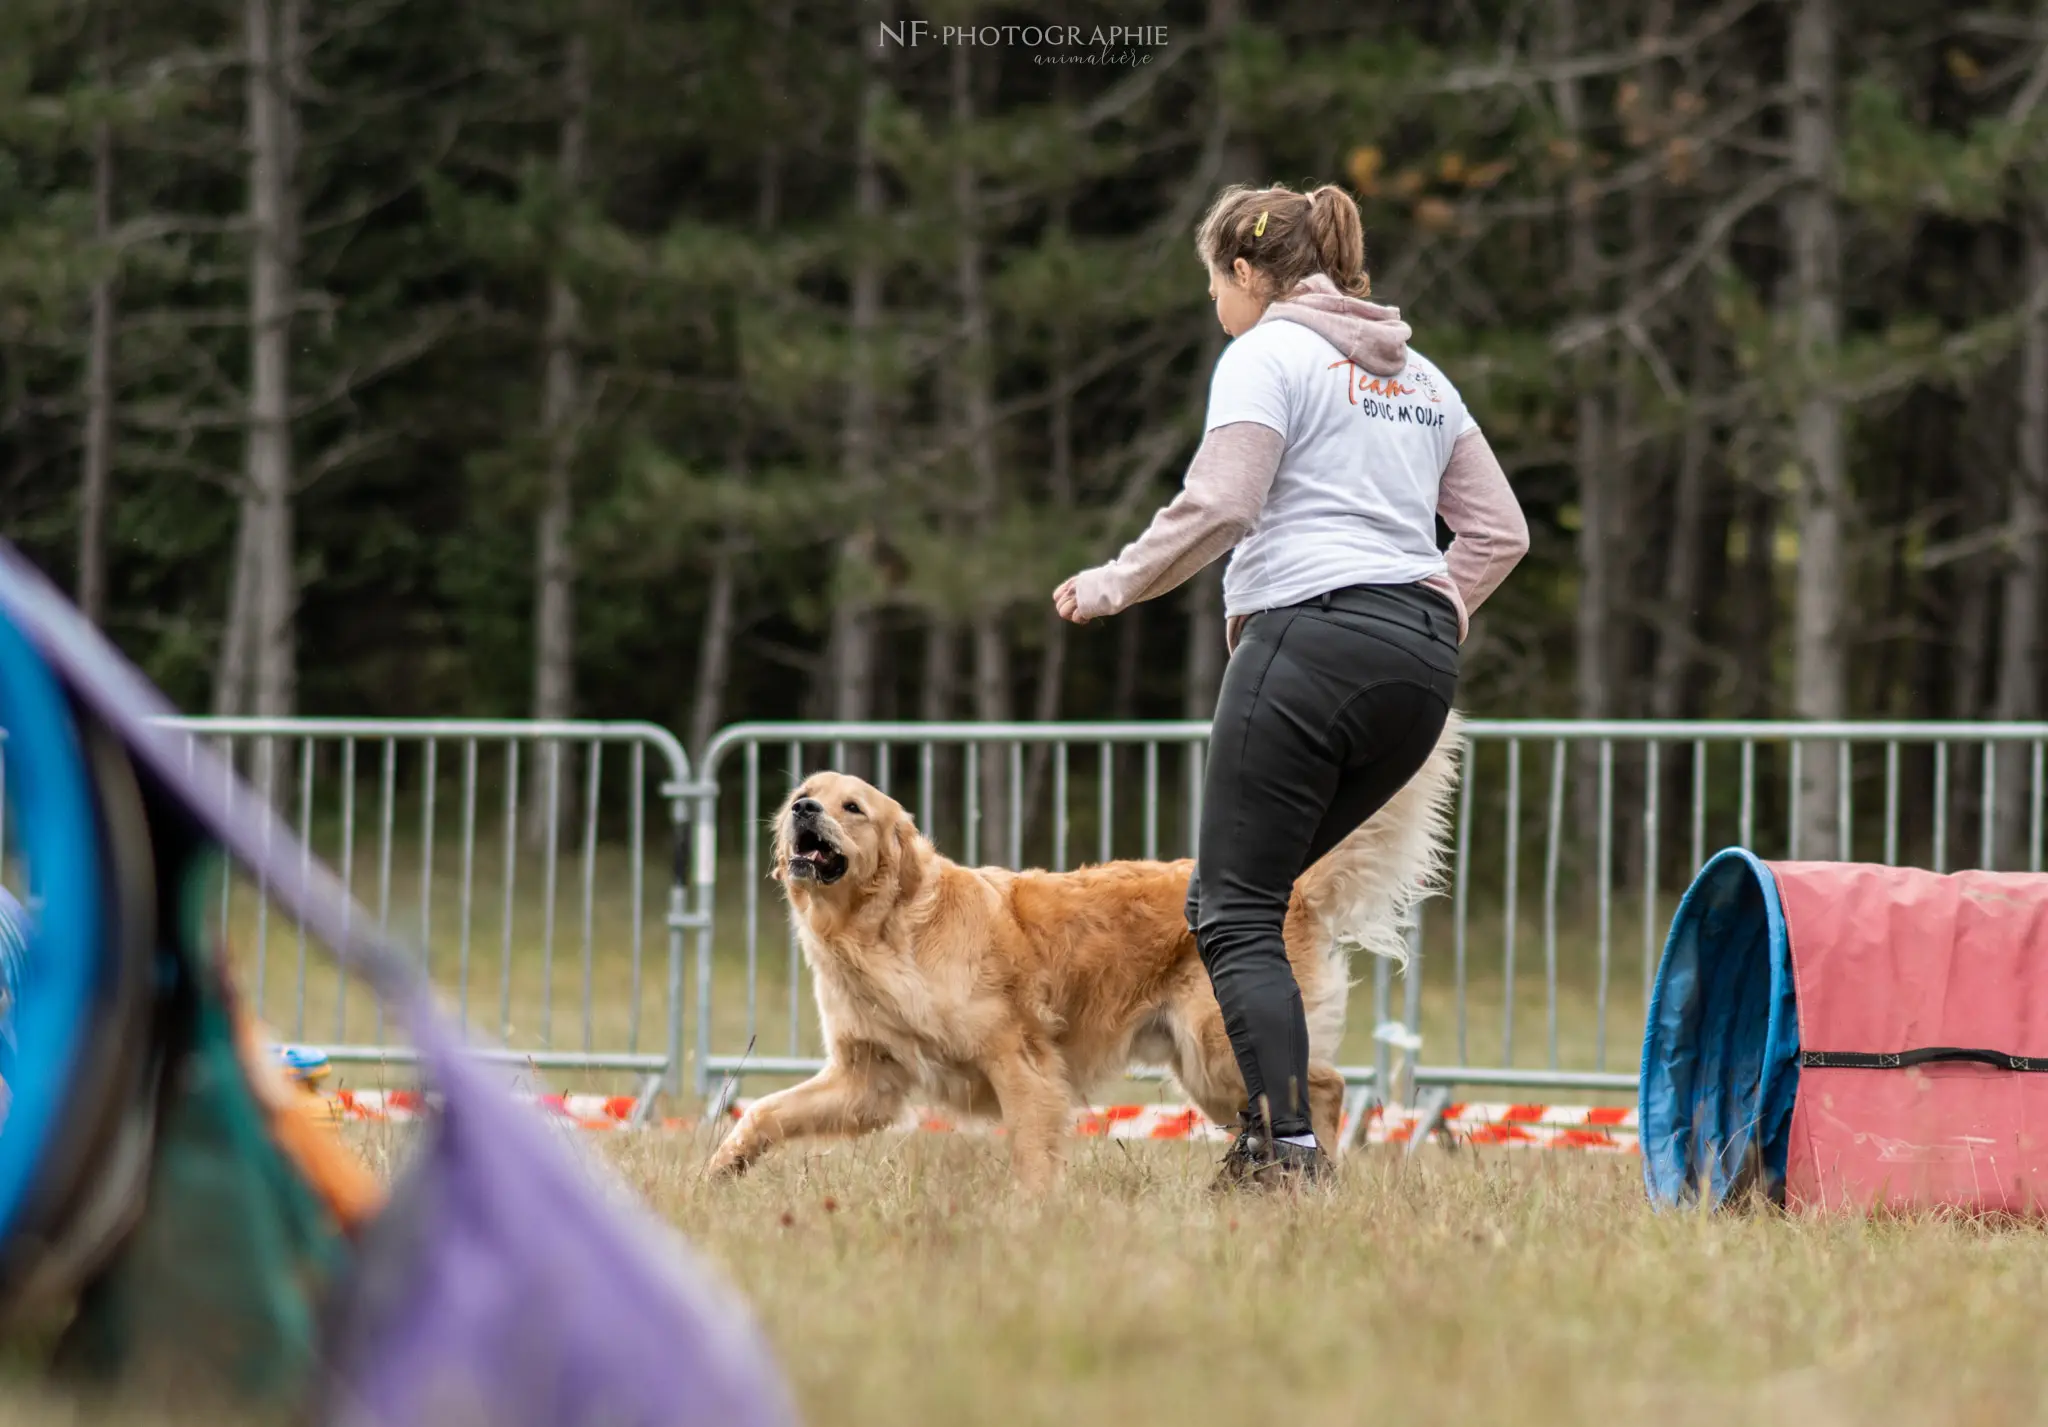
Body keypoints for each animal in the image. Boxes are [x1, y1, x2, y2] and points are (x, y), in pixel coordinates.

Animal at [712, 712, 1466, 1187]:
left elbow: (1030, 1152)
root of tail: (1293, 887)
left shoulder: (1020, 1064)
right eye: (804, 794)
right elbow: (765, 1110)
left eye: (853, 808)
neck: (888, 929)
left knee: (1326, 1087)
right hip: (1209, 1071)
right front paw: (722, 1167)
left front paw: (1030, 1222)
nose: (802, 810)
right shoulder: (867, 1080)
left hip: (1215, 1047)